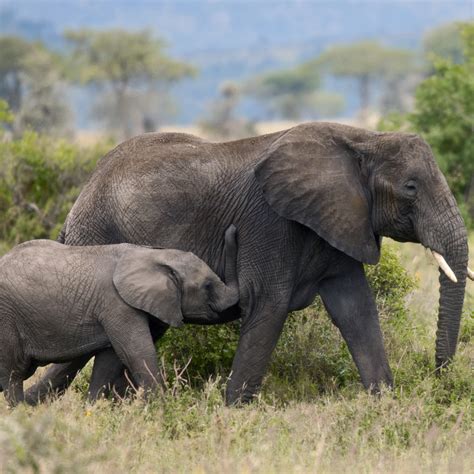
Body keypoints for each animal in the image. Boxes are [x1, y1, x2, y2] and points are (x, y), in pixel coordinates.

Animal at [0, 225, 237, 404]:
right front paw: (162, 410)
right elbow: (137, 352)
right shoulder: (118, 305)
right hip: (6, 318)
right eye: (207, 286)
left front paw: (92, 410)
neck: (152, 254)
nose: (232, 229)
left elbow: (109, 360)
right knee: (13, 373)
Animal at [25, 121, 470, 404]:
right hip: (99, 233)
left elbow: (356, 310)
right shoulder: (269, 224)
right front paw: (234, 412)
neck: (362, 139)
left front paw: (385, 406)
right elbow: (269, 305)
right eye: (410, 188)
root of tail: (77, 204)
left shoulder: (339, 222)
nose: (439, 379)